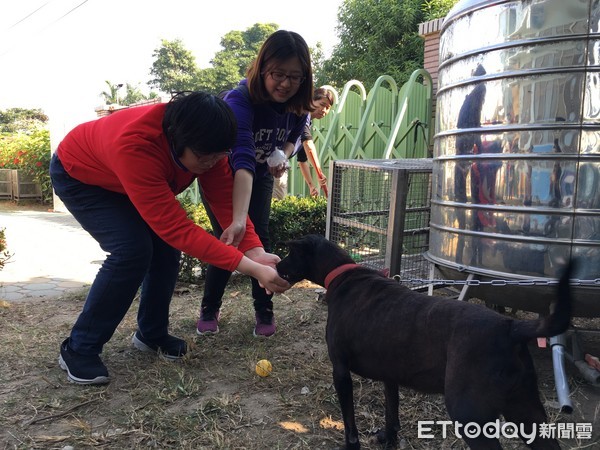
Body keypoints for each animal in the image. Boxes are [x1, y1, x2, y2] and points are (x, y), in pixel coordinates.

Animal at [276, 234, 572, 448]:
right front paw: (390, 438)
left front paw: (352, 445)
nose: (277, 264)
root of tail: (510, 327)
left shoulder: (340, 370)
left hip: (469, 413)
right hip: (527, 411)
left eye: (291, 253)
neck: (343, 274)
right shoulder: (390, 374)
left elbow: (349, 420)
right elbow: (392, 409)